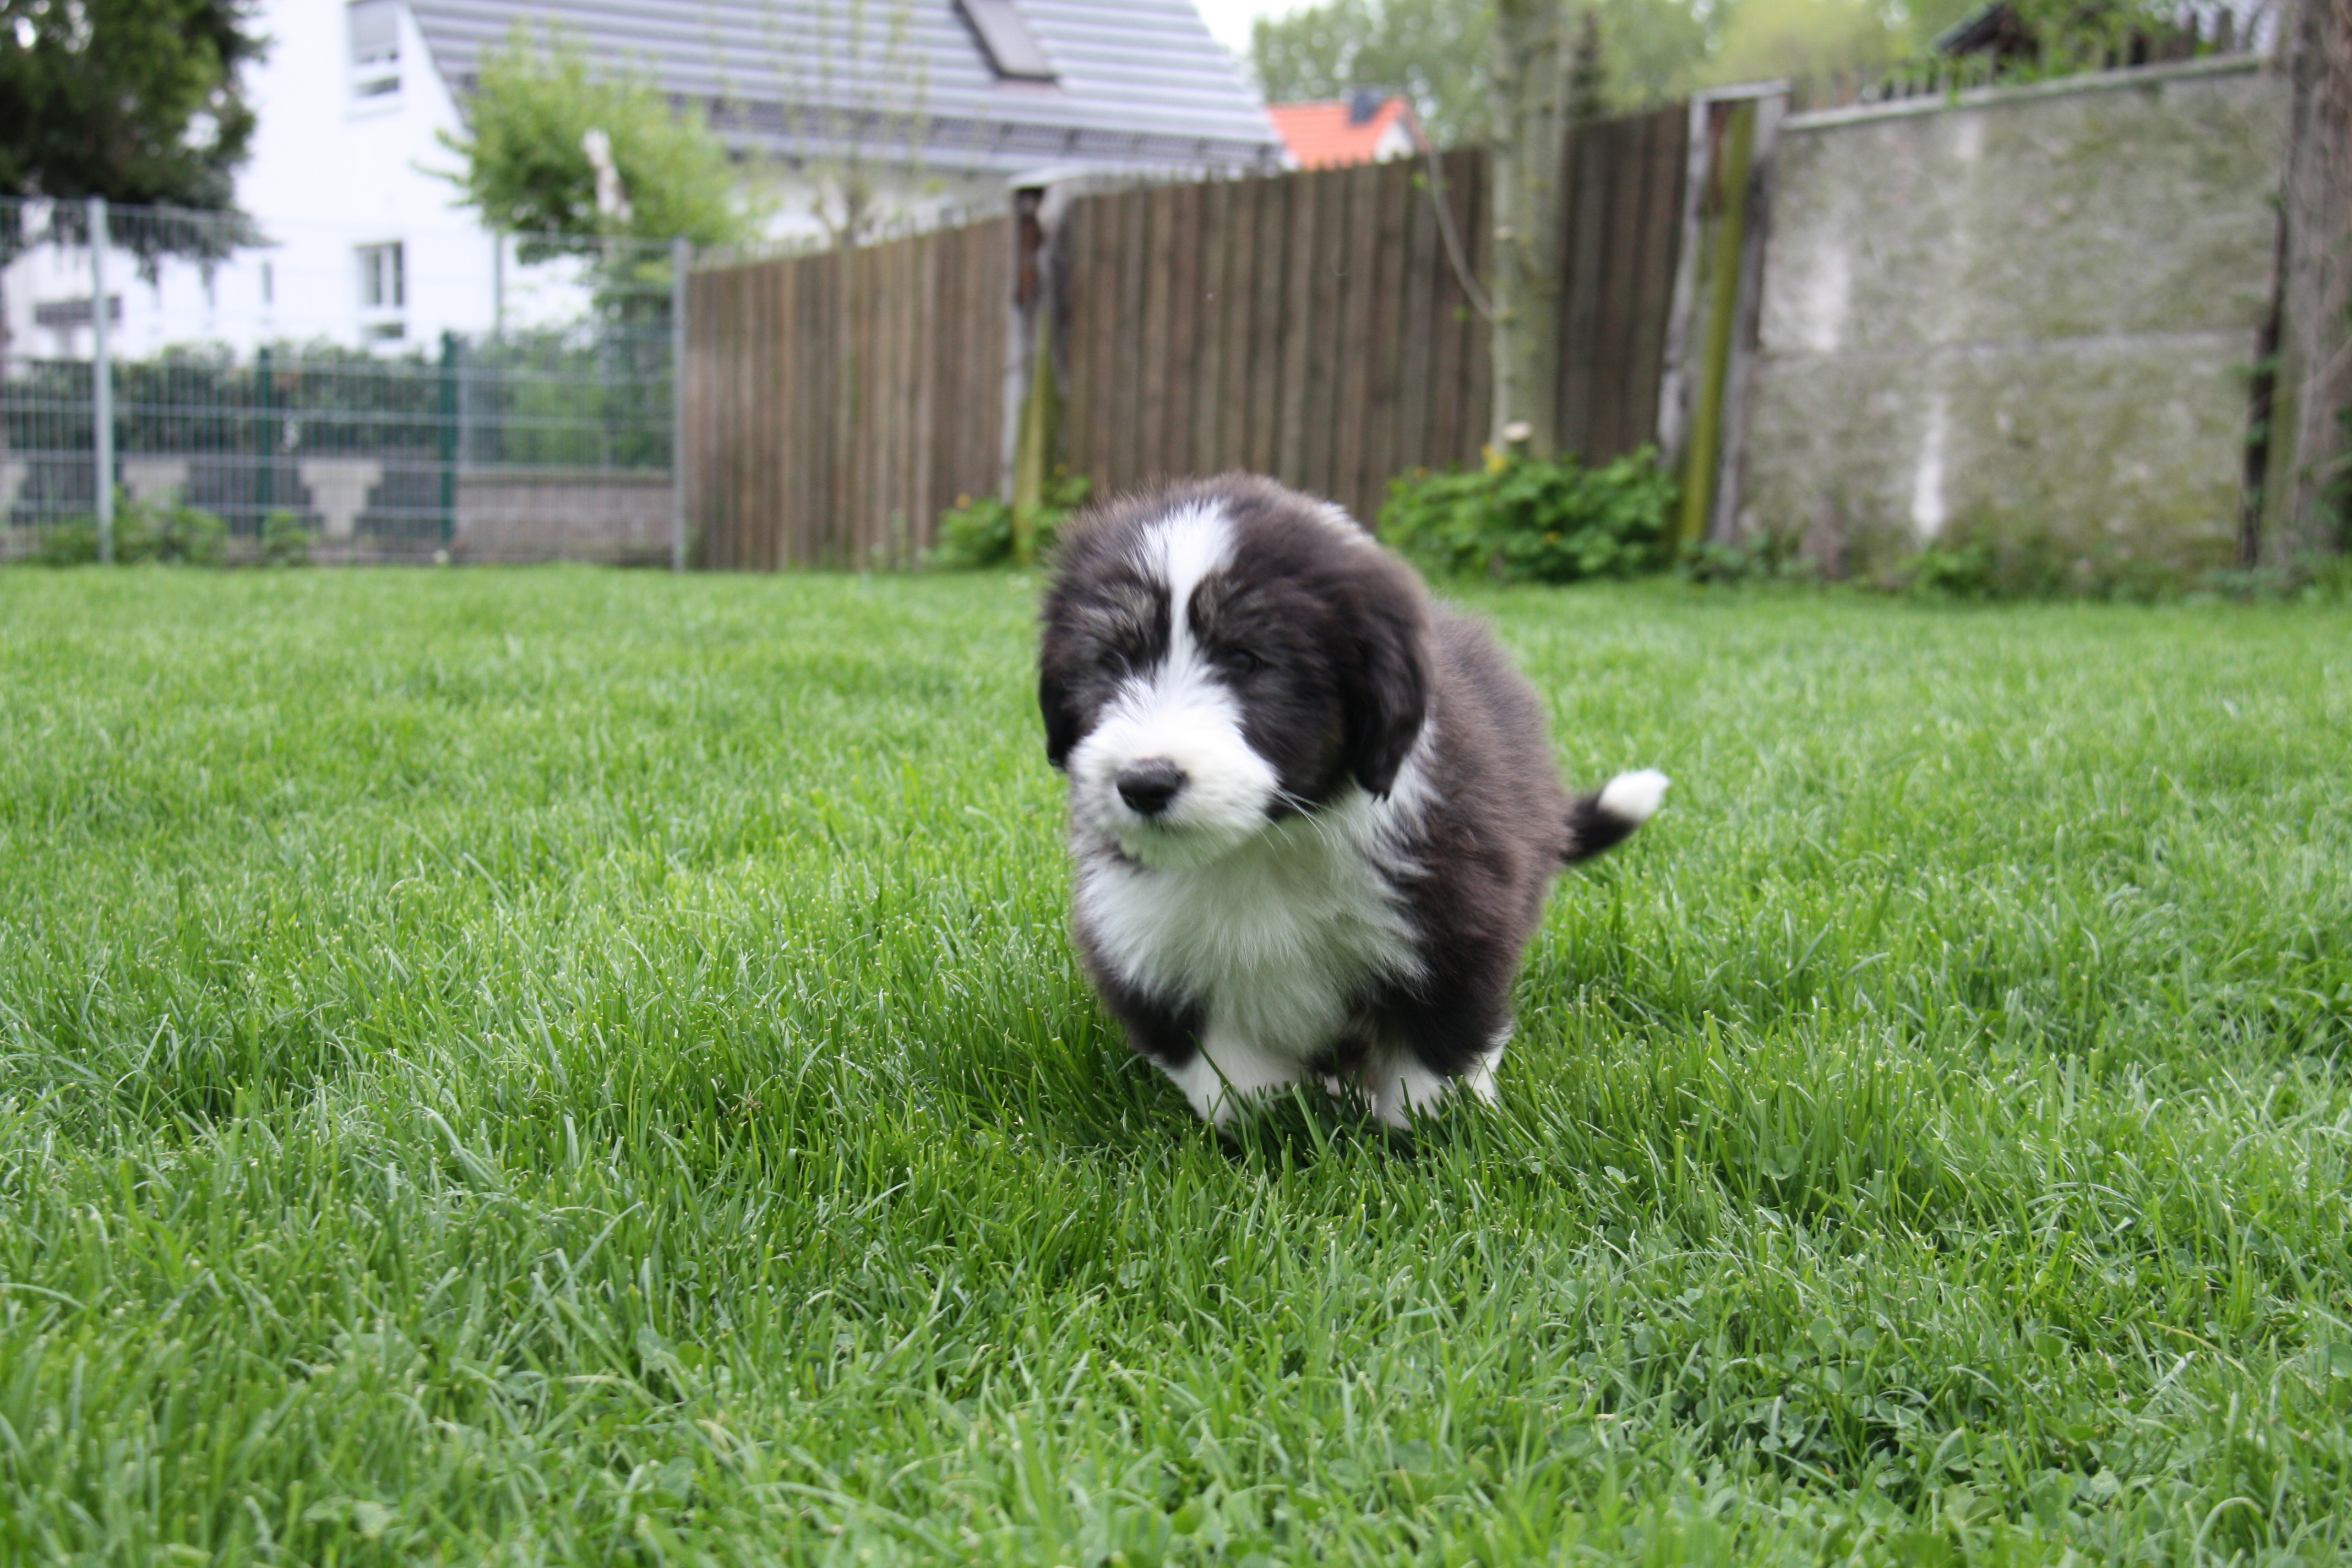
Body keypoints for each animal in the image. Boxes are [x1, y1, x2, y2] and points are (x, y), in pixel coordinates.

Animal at [1038, 474, 1667, 1129]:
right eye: (1113, 659)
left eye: (1247, 659)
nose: (1145, 782)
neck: (1266, 843)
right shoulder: (1146, 944)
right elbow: (1233, 1077)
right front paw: (1273, 1127)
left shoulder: (1453, 923)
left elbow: (1434, 1056)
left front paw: (1426, 1131)